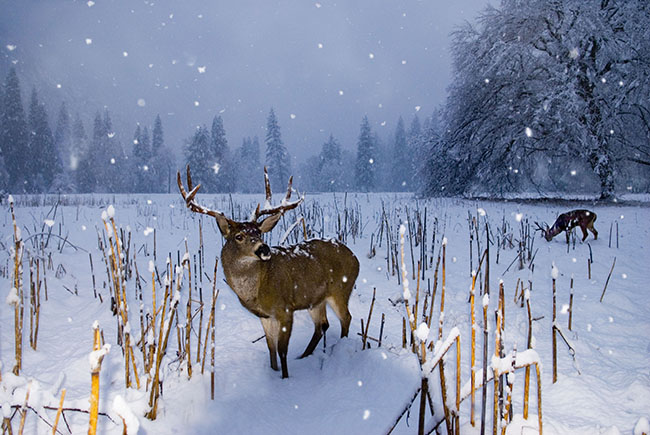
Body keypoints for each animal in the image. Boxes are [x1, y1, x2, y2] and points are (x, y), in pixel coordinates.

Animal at [177, 166, 360, 378]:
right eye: (239, 236)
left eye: (259, 233)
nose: (263, 248)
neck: (256, 291)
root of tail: (355, 257)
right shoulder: (265, 316)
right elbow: (271, 347)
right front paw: (274, 372)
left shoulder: (285, 308)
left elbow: (282, 350)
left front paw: (285, 378)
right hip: (316, 299)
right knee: (322, 325)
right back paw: (304, 356)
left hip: (341, 289)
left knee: (346, 318)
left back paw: (339, 349)